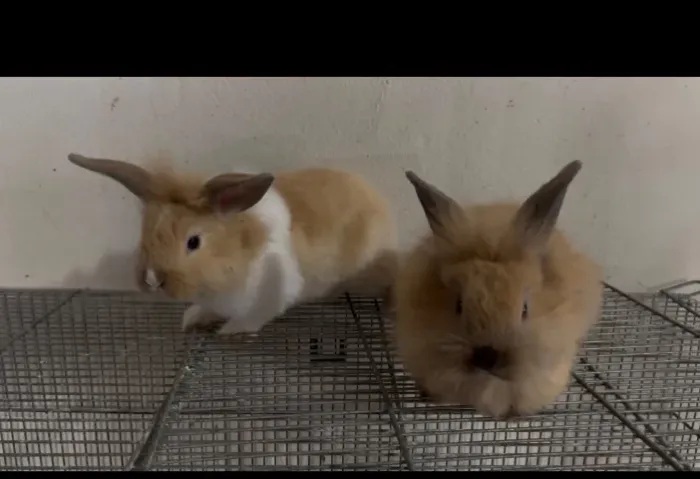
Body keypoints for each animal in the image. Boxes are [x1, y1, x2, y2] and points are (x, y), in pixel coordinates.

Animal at [67, 153, 398, 335]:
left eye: (193, 242)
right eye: (145, 231)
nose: (152, 280)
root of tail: (380, 202)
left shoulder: (271, 294)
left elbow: (254, 318)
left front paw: (230, 331)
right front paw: (193, 319)